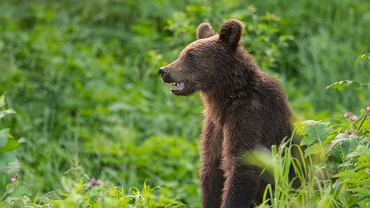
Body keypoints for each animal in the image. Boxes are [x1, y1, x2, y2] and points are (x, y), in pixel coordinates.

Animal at [159, 18, 292, 207]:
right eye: (183, 53)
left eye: (191, 55)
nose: (164, 70)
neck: (226, 100)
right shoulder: (214, 126)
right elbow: (211, 169)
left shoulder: (250, 117)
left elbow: (241, 165)